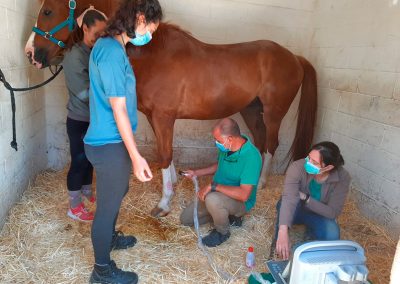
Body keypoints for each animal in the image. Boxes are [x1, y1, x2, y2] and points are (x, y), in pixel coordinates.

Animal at [26, 0, 318, 217]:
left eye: (47, 11)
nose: (31, 54)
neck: (151, 52)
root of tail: (295, 57)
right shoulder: (157, 118)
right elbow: (166, 152)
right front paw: (174, 184)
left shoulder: (163, 117)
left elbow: (164, 153)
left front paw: (164, 203)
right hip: (250, 110)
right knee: (259, 141)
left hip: (273, 113)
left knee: (271, 143)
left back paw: (263, 182)